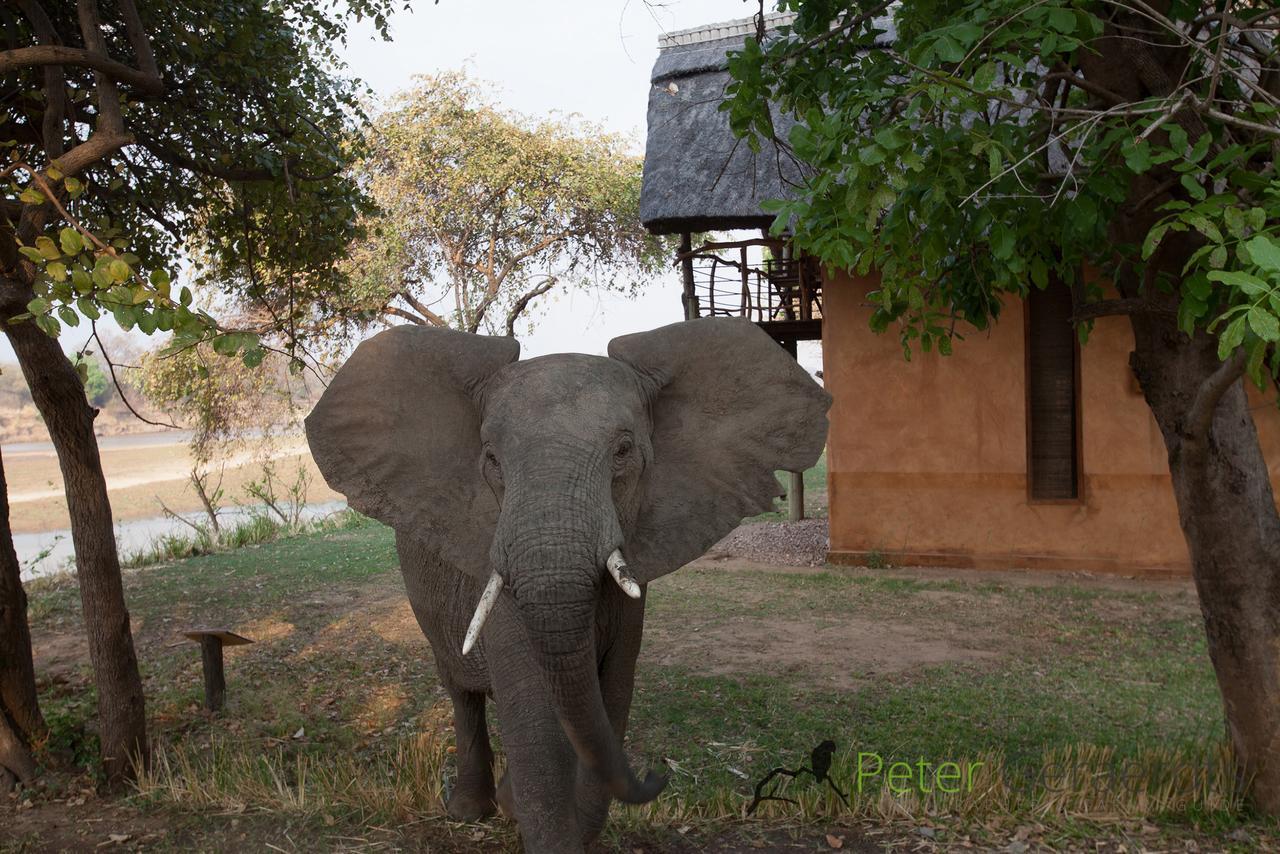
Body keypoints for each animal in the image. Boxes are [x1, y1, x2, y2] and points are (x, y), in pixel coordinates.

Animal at [307, 317, 829, 850]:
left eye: (623, 451)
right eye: (491, 459)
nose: (657, 776)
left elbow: (611, 694)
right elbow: (537, 720)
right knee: (462, 691)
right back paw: (470, 812)